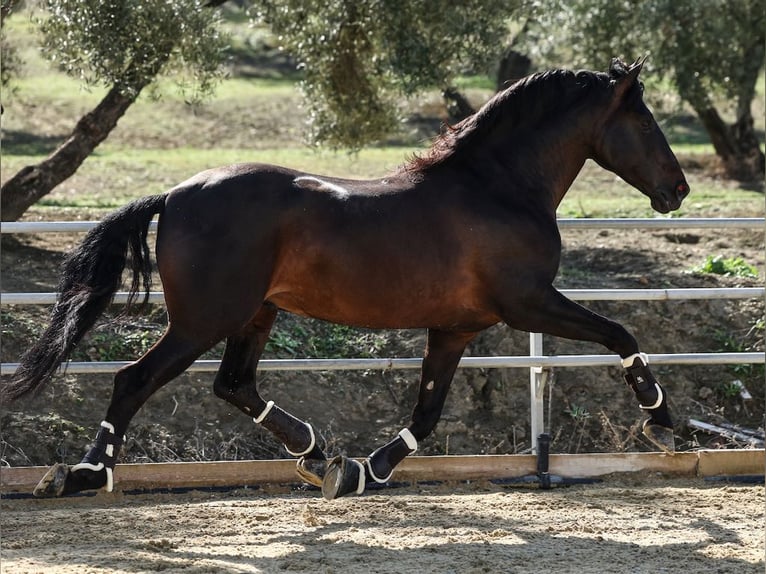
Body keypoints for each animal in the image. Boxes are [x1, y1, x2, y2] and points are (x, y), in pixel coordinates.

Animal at [3, 56, 688, 502]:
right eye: (647, 122)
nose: (677, 190)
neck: (498, 186)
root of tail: (173, 194)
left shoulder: (456, 327)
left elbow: (427, 413)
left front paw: (360, 471)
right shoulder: (528, 304)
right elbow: (619, 333)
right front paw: (662, 419)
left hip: (255, 314)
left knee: (234, 384)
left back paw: (312, 451)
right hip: (203, 320)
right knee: (134, 380)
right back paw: (83, 475)